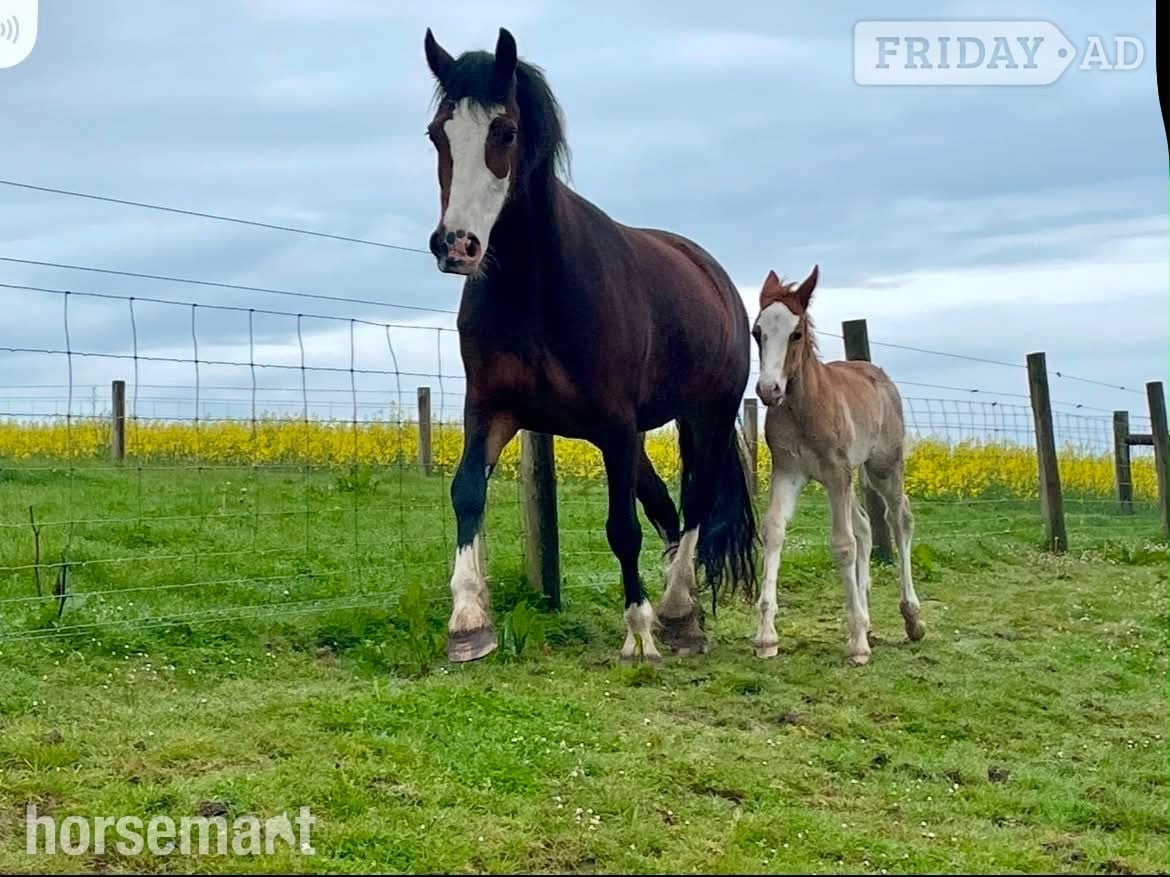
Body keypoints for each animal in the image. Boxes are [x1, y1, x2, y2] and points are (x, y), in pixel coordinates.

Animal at [421, 27, 757, 662]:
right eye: (437, 133)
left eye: (504, 131)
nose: (456, 246)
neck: (536, 290)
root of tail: (712, 272)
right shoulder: (492, 411)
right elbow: (466, 493)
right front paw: (468, 623)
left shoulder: (615, 425)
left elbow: (621, 528)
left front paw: (639, 634)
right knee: (668, 507)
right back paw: (682, 610)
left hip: (708, 414)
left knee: (696, 503)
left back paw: (678, 612)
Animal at [750, 265, 925, 665]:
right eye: (757, 332)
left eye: (796, 333)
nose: (769, 390)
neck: (803, 408)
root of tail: (879, 375)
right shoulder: (789, 472)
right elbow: (773, 531)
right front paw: (766, 637)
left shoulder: (836, 473)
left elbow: (843, 544)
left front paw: (857, 643)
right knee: (865, 526)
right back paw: (868, 619)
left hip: (883, 466)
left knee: (898, 518)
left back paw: (911, 617)